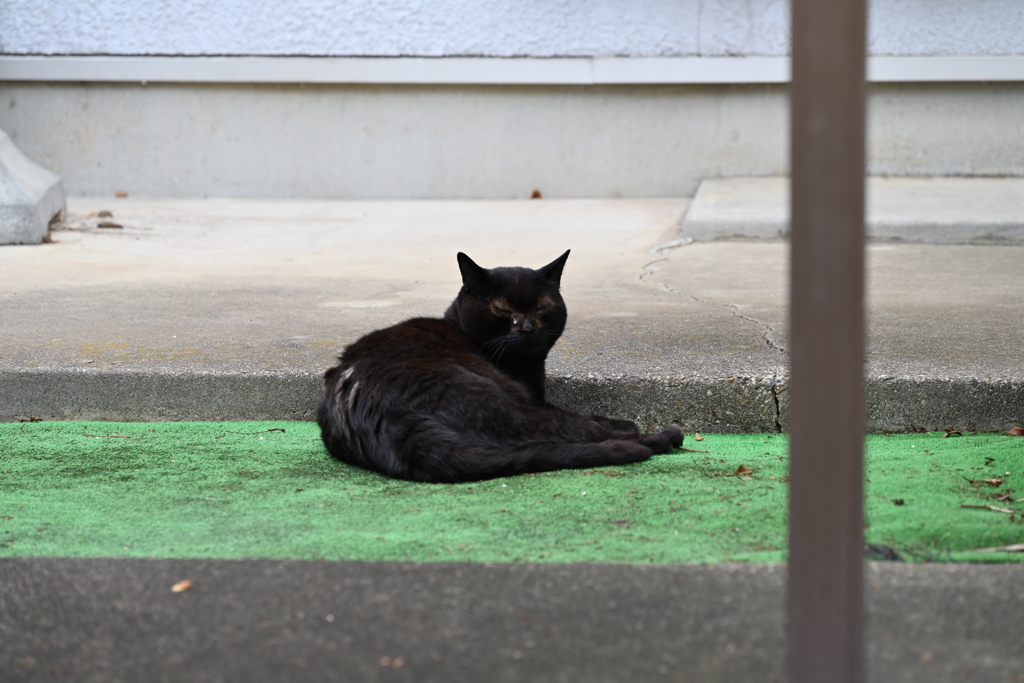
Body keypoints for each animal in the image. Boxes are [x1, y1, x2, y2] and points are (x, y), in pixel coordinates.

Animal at [315, 248, 684, 483]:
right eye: (503, 310)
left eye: (541, 308)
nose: (527, 327)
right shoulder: (535, 400)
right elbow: (585, 416)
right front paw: (624, 424)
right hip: (503, 403)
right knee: (572, 430)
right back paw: (662, 437)